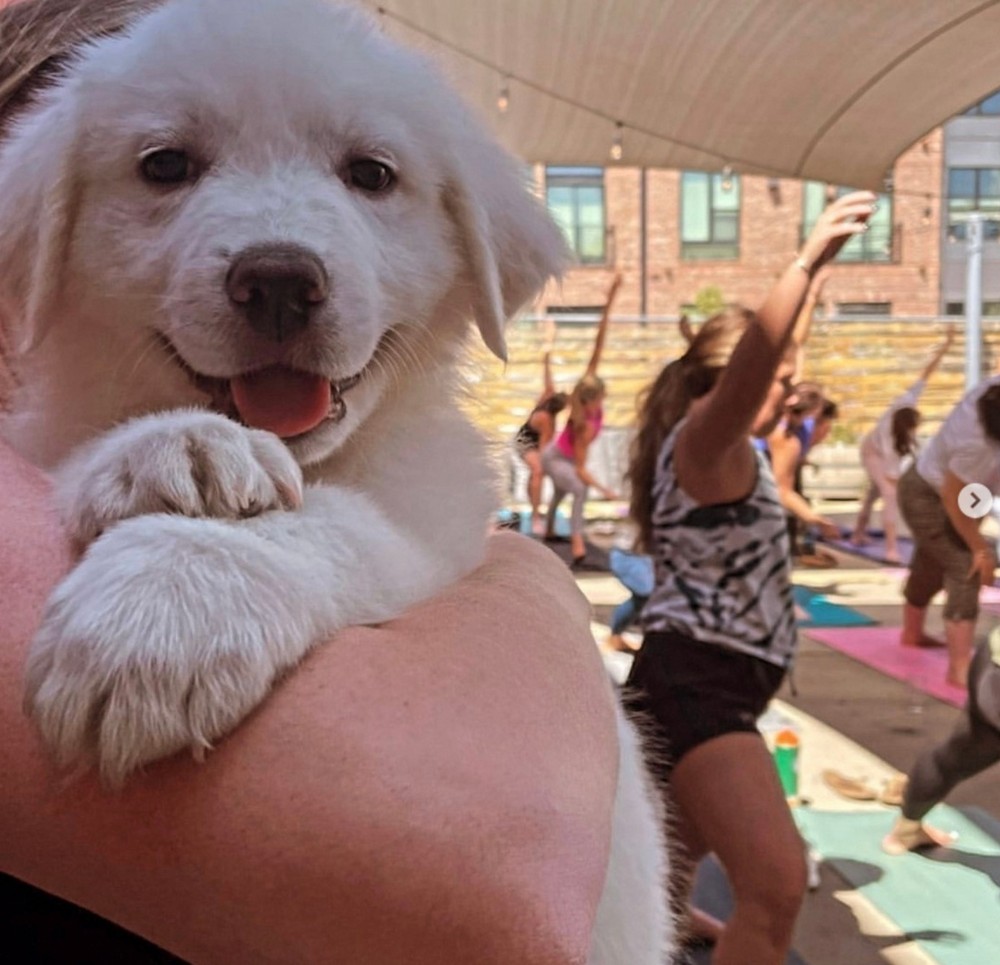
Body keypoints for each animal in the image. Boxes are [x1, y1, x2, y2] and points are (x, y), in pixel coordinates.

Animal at [0, 1, 673, 959]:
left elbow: (336, 522)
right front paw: (169, 446)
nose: (280, 279)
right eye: (165, 165)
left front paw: (165, 604)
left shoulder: (438, 520)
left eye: (371, 174)